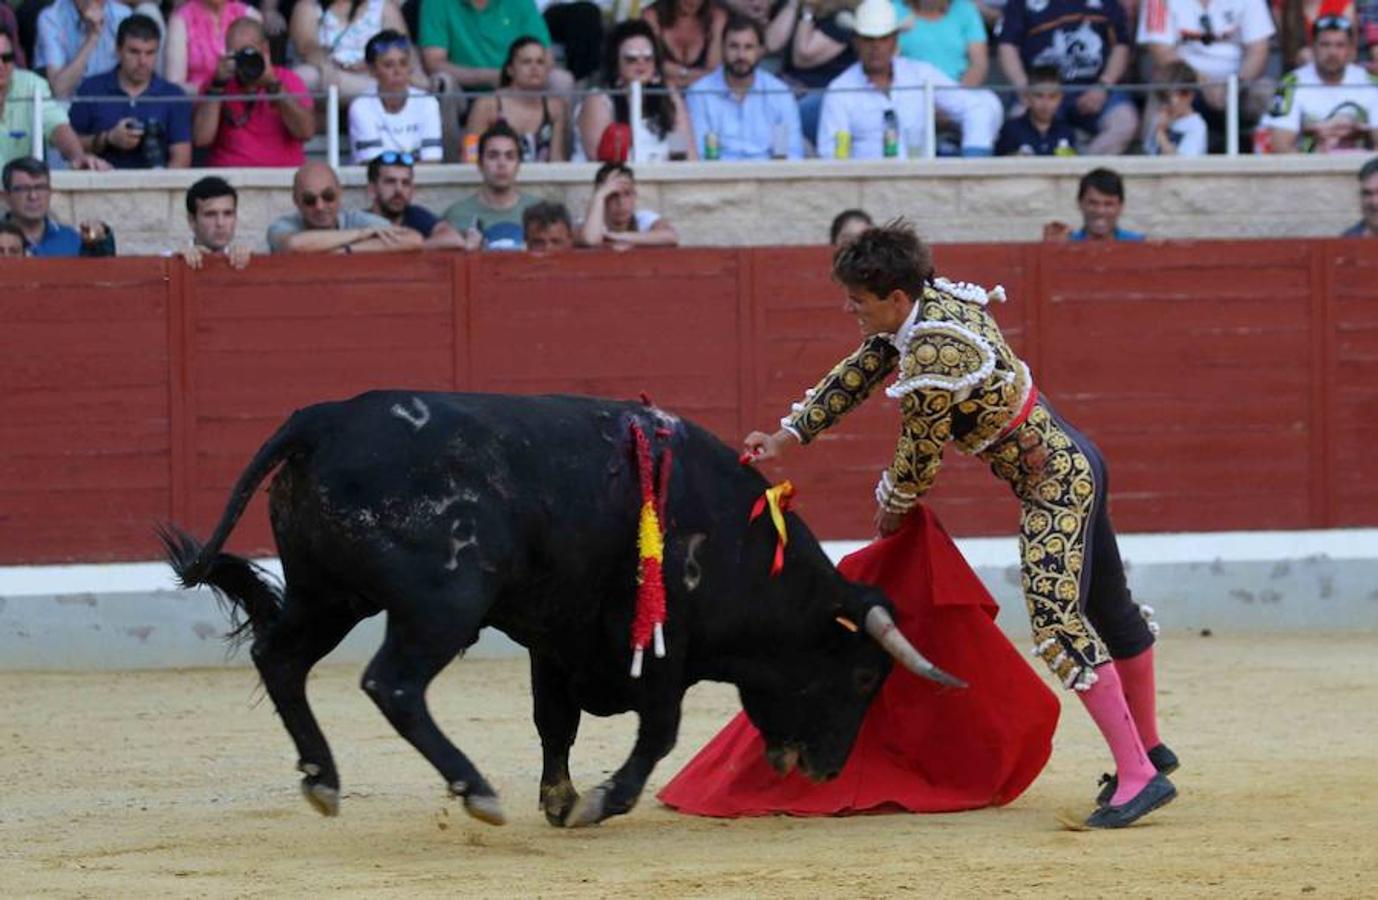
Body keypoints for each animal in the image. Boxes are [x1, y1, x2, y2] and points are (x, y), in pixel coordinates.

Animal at [158, 388, 959, 826]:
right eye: (865, 677)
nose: (827, 771)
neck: (741, 540)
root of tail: (321, 419)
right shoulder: (666, 645)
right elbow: (658, 732)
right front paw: (602, 801)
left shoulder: (556, 640)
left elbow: (555, 721)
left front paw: (559, 799)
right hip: (442, 603)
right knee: (393, 683)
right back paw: (475, 790)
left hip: (328, 593)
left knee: (280, 657)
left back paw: (323, 780)